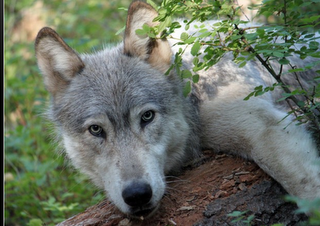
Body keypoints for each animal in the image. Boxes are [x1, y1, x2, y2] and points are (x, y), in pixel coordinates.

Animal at [35, 0, 320, 219]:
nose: (137, 195)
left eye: (147, 117)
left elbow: (307, 190)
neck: (193, 90)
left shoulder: (262, 127)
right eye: (96, 130)